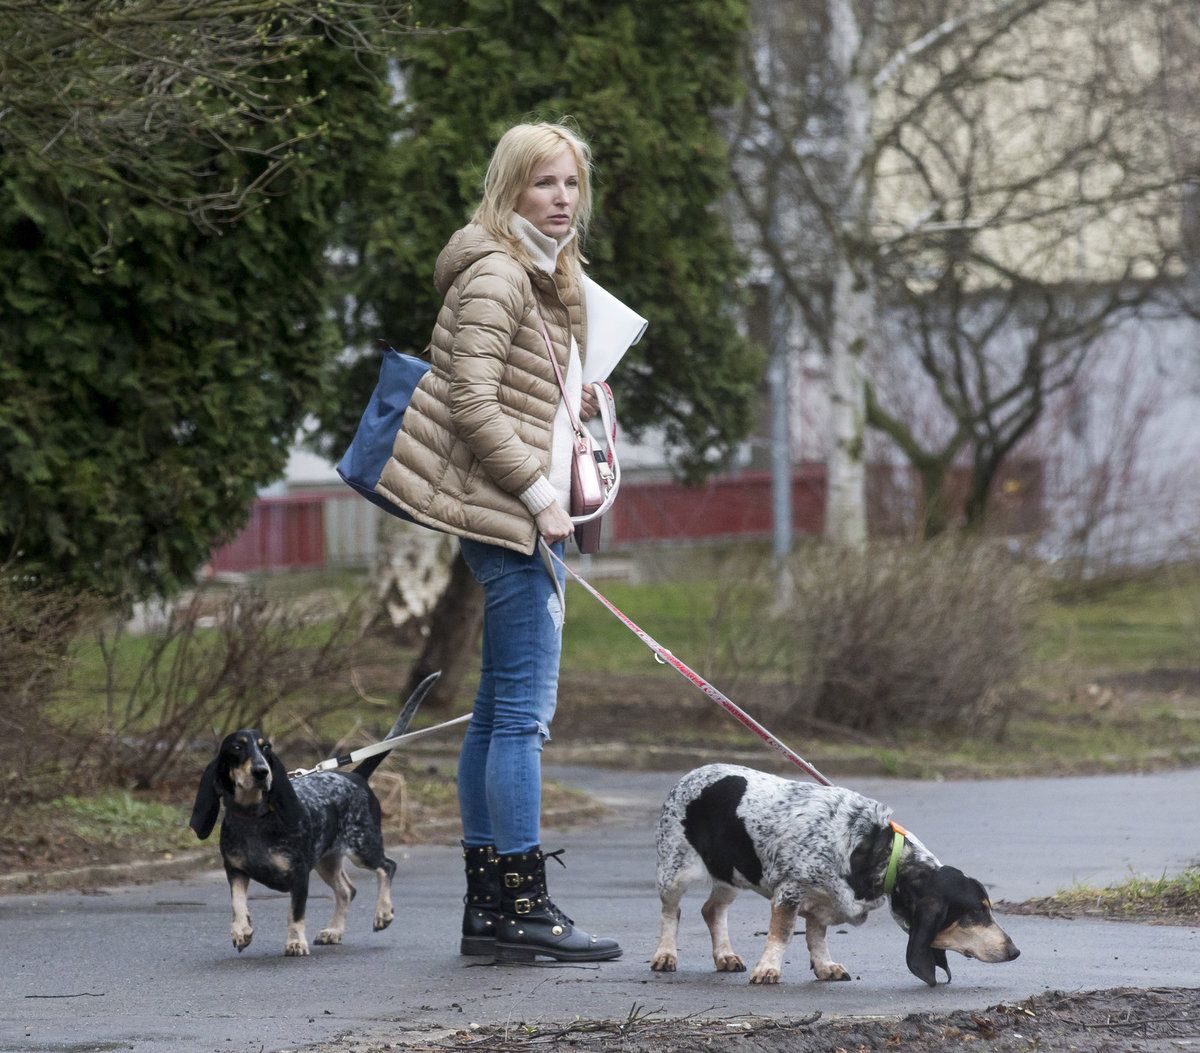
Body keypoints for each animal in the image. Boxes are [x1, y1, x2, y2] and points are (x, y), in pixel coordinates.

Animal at [189, 733, 398, 954]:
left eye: (266, 748)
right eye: (237, 747)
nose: (261, 771)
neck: (253, 816)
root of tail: (356, 777)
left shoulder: (299, 874)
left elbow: (294, 913)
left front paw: (295, 942)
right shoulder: (235, 870)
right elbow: (237, 902)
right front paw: (241, 931)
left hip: (362, 848)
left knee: (387, 866)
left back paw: (383, 913)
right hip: (326, 862)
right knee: (347, 891)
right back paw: (333, 930)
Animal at [652, 767, 1017, 988]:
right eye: (975, 912)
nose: (1014, 952)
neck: (880, 852)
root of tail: (690, 775)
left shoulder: (823, 903)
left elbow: (817, 936)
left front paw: (824, 966)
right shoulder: (789, 893)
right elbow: (782, 934)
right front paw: (768, 968)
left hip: (730, 874)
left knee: (712, 910)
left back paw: (725, 957)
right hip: (675, 873)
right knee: (672, 912)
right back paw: (665, 955)